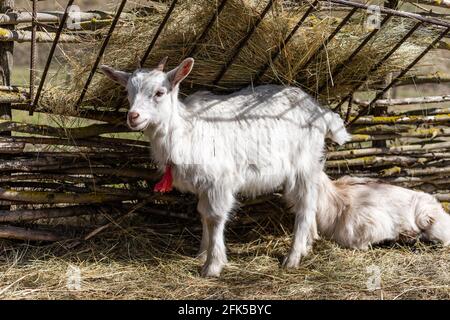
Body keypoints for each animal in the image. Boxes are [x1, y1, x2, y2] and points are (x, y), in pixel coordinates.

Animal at [102, 58, 352, 278]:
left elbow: (214, 217)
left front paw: (212, 265)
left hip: (303, 164)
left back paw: (293, 256)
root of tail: (320, 110)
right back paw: (310, 241)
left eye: (159, 93)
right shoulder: (204, 185)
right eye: (128, 92)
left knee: (305, 205)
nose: (133, 117)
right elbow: (202, 214)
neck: (186, 130)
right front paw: (202, 252)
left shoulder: (219, 181)